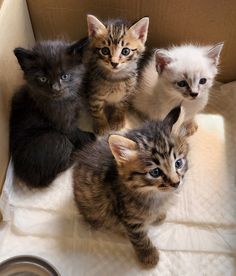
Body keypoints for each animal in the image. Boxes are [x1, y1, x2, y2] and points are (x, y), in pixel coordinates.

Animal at [10, 40, 95, 189]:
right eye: (42, 79)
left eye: (65, 76)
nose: (55, 88)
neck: (62, 100)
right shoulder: (63, 123)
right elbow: (75, 133)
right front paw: (90, 137)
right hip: (56, 140)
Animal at [73, 105, 189, 268]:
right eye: (155, 172)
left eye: (178, 163)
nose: (176, 183)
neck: (153, 194)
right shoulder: (129, 217)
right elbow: (139, 237)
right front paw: (148, 254)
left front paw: (159, 216)